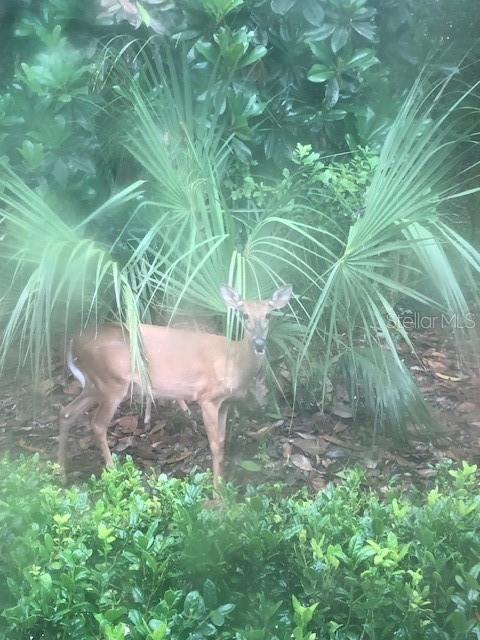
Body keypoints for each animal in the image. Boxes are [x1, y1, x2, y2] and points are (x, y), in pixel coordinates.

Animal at [60, 284, 292, 484]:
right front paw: (218, 494)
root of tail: (73, 342)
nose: (260, 343)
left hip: (95, 384)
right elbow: (215, 445)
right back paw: (112, 472)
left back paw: (60, 472)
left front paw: (223, 484)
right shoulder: (207, 397)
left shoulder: (226, 402)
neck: (234, 362)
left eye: (268, 314)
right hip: (112, 382)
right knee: (97, 424)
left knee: (67, 413)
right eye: (244, 315)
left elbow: (222, 442)